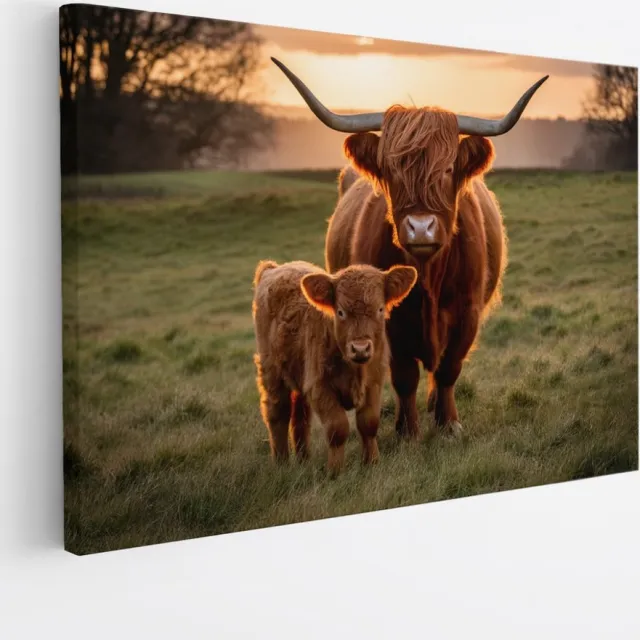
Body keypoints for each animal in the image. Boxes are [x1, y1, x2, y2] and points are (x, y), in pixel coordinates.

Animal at [252, 259, 417, 473]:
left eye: (380, 309)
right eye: (340, 312)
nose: (360, 348)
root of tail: (274, 268)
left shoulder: (374, 383)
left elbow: (369, 423)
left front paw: (371, 462)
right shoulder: (320, 387)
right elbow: (337, 429)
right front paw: (335, 471)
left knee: (300, 417)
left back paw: (304, 459)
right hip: (271, 371)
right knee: (277, 413)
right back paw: (281, 463)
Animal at [271, 57, 549, 440]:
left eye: (448, 168)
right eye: (391, 170)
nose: (420, 227)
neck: (428, 275)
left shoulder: (467, 313)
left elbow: (448, 369)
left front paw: (448, 423)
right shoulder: (386, 319)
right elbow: (404, 376)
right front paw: (408, 430)